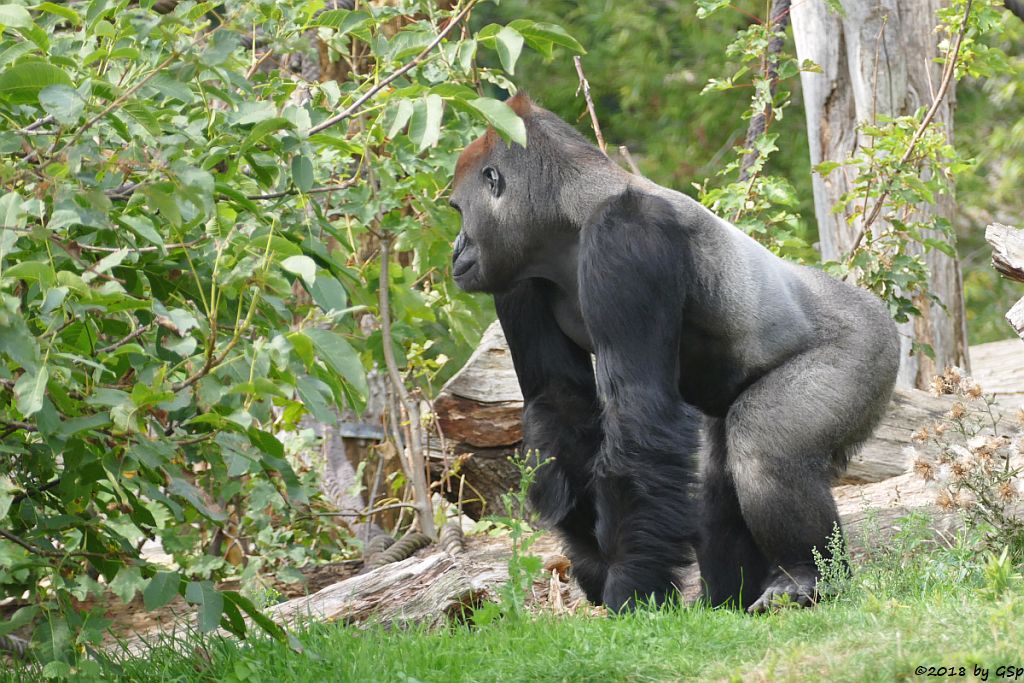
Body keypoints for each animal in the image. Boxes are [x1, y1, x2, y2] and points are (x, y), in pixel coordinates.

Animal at [448, 92, 897, 614]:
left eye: (459, 210)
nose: (456, 249)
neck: (572, 214)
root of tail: (877, 308)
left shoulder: (626, 238)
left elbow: (639, 405)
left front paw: (630, 584)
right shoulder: (517, 273)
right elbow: (561, 405)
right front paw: (594, 562)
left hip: (868, 348)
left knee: (764, 446)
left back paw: (808, 576)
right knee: (715, 476)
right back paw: (730, 597)